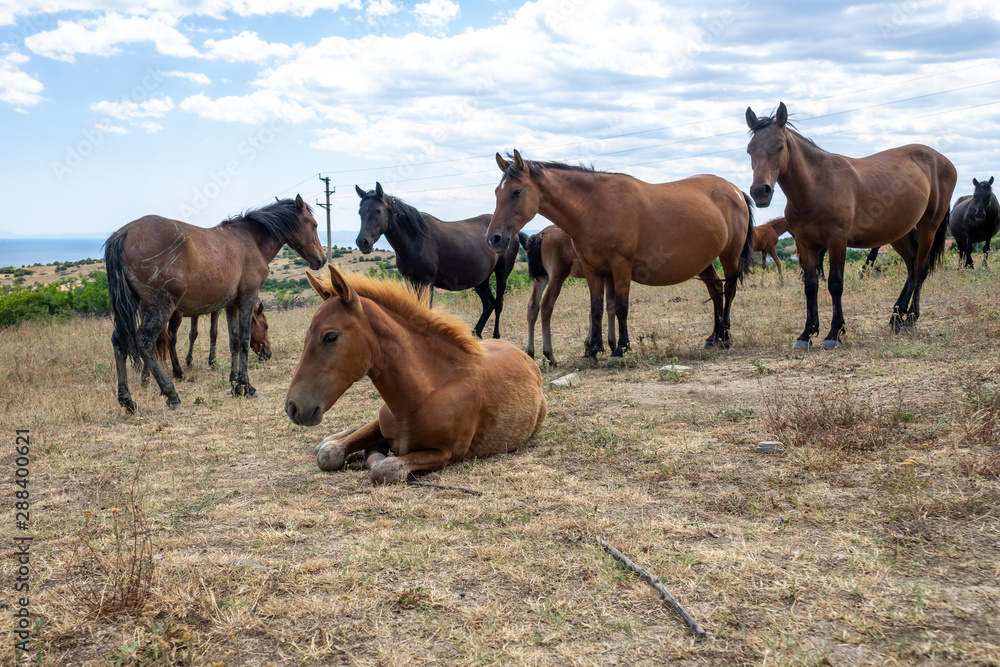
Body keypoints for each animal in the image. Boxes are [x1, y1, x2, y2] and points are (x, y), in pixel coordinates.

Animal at [282, 264, 548, 486]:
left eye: (330, 336)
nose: (292, 407)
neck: (424, 395)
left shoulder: (445, 452)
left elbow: (384, 468)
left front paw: (373, 454)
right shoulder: (380, 424)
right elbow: (329, 454)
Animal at [354, 183, 524, 340]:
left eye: (378, 210)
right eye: (360, 212)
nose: (362, 242)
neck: (415, 240)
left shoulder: (427, 282)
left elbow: (427, 309)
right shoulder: (410, 281)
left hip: (502, 273)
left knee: (498, 303)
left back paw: (496, 335)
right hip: (482, 280)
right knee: (488, 304)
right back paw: (476, 334)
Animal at [520, 227, 612, 368]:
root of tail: (542, 234)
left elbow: (595, 309)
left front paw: (590, 346)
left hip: (541, 277)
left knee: (533, 306)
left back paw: (530, 352)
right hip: (557, 276)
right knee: (546, 305)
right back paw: (550, 355)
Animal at [748, 103, 956, 350]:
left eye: (779, 146)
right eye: (750, 150)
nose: (760, 191)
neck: (817, 186)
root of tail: (942, 160)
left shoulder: (837, 241)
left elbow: (835, 284)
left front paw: (834, 333)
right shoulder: (805, 244)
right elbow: (811, 286)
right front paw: (806, 334)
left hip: (928, 227)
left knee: (921, 268)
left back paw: (910, 319)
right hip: (900, 234)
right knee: (912, 267)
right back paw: (896, 317)